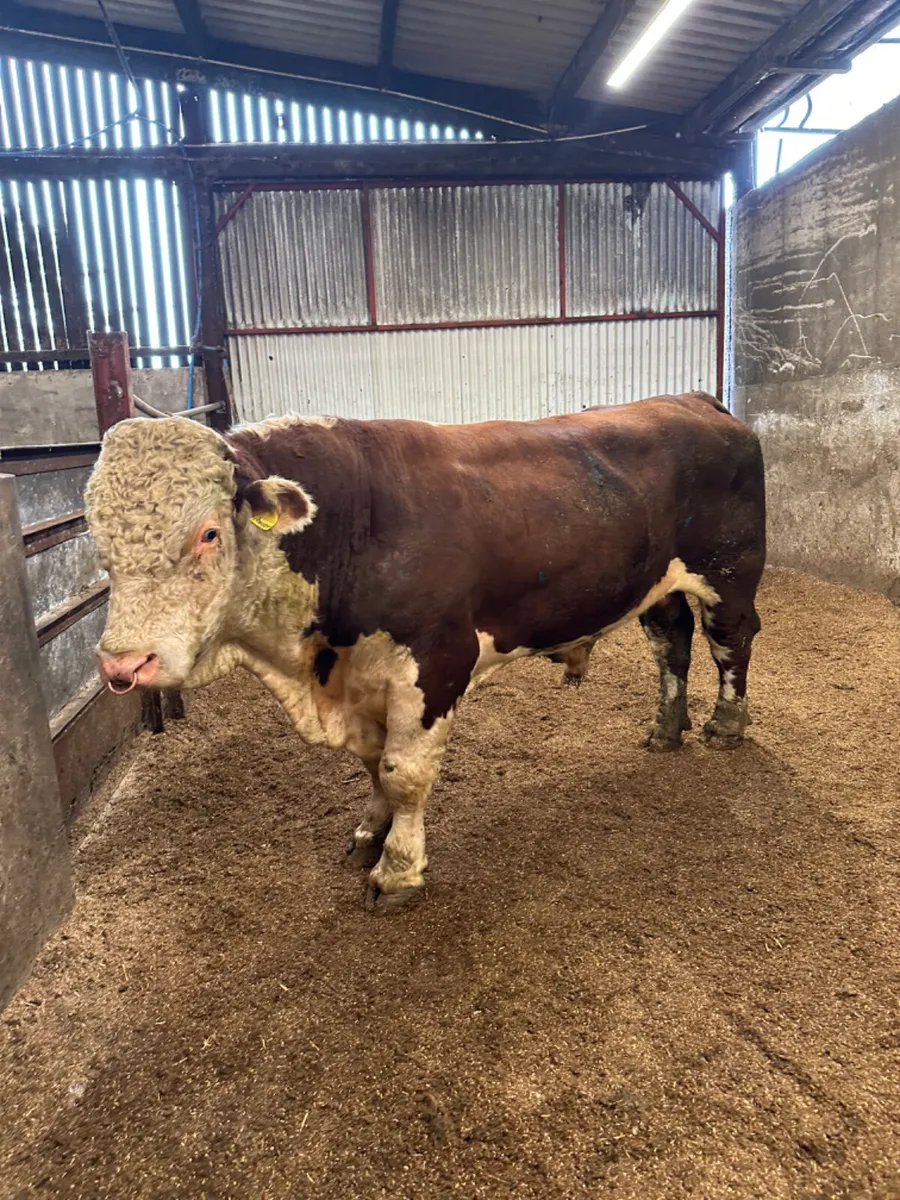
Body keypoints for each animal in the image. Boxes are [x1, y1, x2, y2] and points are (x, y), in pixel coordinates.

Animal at [85, 392, 766, 914]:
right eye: (98, 543)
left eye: (208, 533)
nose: (123, 665)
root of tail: (695, 400)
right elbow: (372, 764)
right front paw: (370, 829)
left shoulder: (435, 664)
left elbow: (404, 773)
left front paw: (398, 870)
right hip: (659, 585)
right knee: (672, 645)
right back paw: (665, 729)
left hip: (731, 572)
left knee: (730, 641)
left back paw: (725, 725)